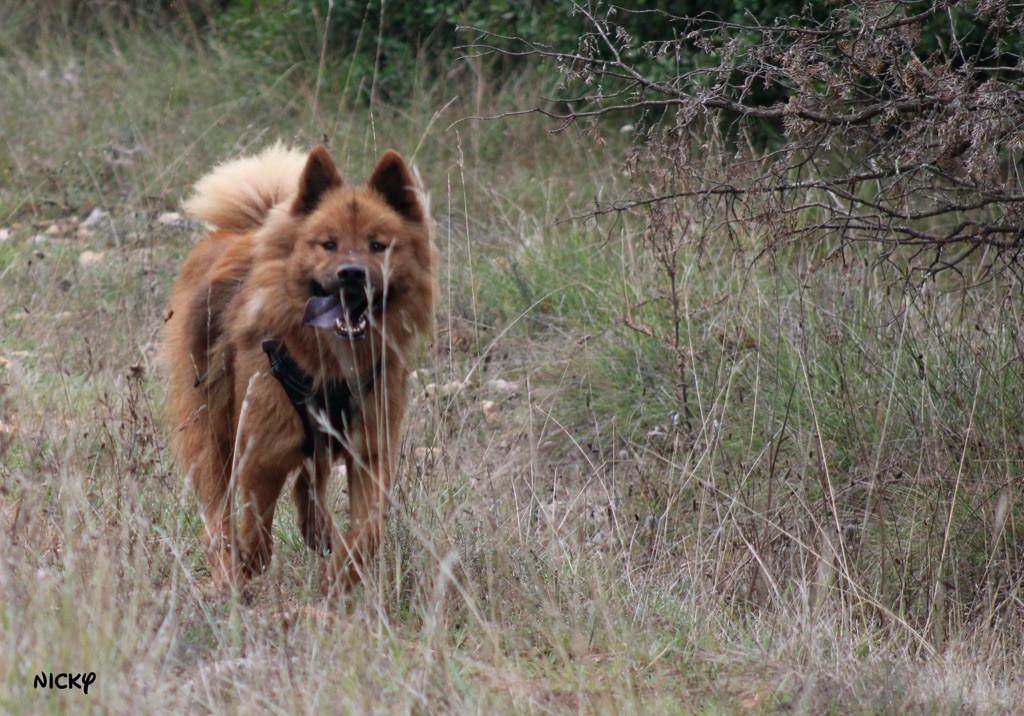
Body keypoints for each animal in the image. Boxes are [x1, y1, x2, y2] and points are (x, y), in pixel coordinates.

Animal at [161, 142, 434, 590]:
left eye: (378, 245)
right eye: (328, 244)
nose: (352, 275)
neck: (332, 366)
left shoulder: (370, 451)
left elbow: (368, 530)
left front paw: (340, 575)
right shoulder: (261, 453)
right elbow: (254, 527)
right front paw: (247, 567)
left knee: (308, 483)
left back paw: (317, 531)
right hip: (211, 430)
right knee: (218, 512)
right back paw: (226, 571)